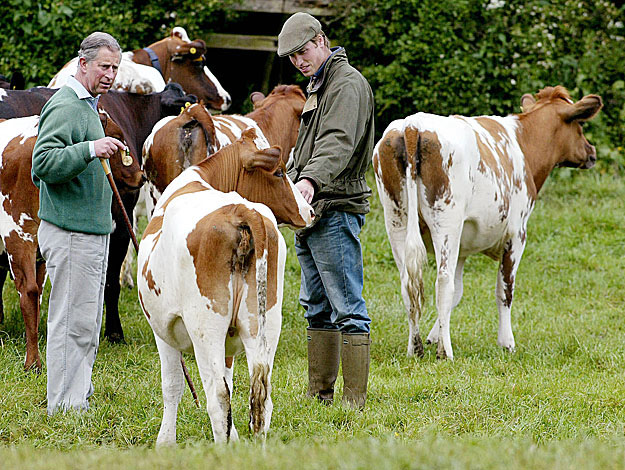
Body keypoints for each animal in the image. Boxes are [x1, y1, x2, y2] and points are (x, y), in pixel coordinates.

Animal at [372, 86, 604, 360]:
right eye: (580, 124)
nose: (591, 152)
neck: (523, 143)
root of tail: (412, 125)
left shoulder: (463, 246)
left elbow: (459, 292)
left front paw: (433, 336)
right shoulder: (516, 234)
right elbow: (504, 290)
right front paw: (507, 343)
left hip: (395, 218)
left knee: (408, 283)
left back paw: (415, 348)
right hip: (446, 220)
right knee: (443, 282)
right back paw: (445, 352)